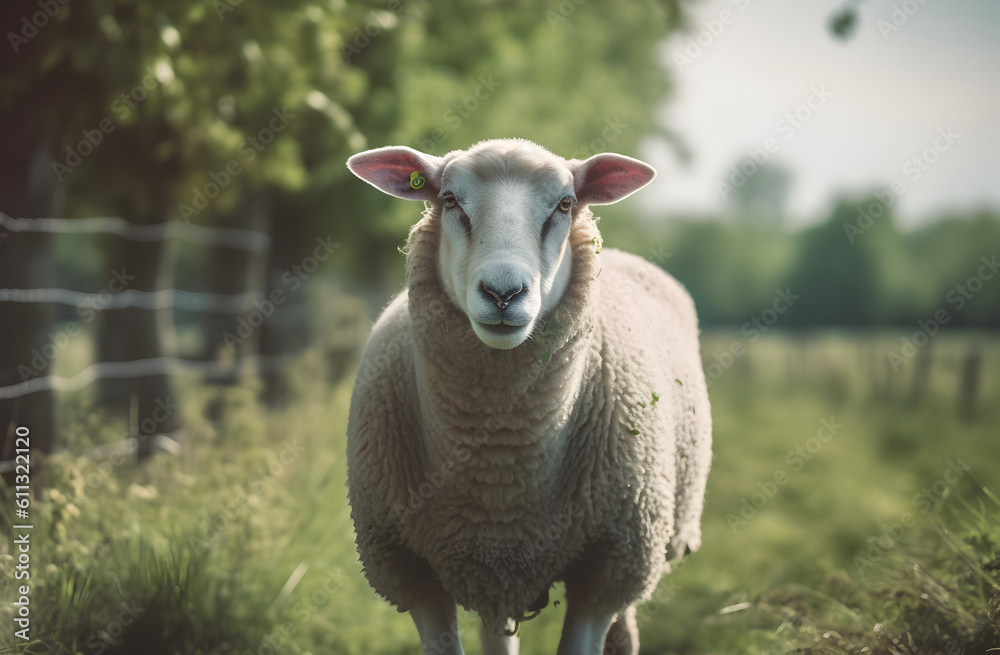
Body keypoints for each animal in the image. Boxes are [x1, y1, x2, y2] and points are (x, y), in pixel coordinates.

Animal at [345, 138, 712, 655]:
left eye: (565, 204)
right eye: (449, 200)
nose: (504, 293)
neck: (500, 469)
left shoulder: (608, 568)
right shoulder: (409, 573)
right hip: (491, 572)